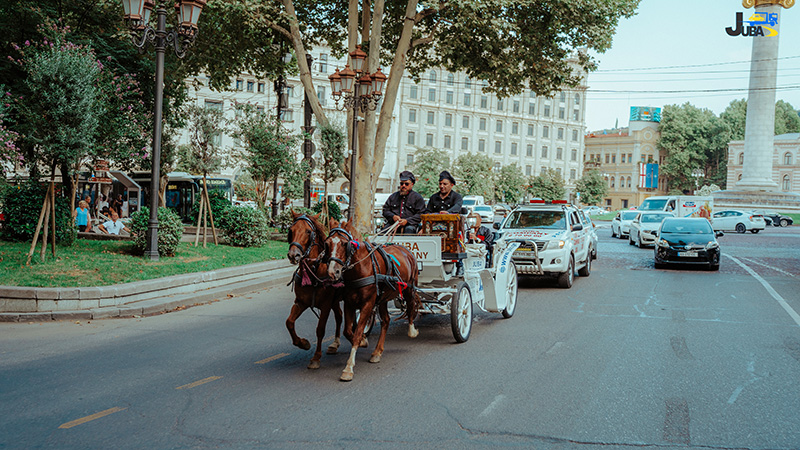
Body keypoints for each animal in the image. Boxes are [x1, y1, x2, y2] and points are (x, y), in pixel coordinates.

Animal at [284, 211, 340, 370]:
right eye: (291, 230)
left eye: (309, 231)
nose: (293, 255)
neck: (314, 269)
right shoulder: (301, 302)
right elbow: (289, 322)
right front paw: (303, 343)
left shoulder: (326, 305)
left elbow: (320, 329)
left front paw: (316, 357)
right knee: (339, 317)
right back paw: (335, 344)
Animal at [326, 218, 424, 380]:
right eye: (327, 243)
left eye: (345, 244)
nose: (333, 272)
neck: (361, 267)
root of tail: (405, 249)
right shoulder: (349, 303)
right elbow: (348, 331)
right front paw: (363, 342)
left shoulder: (368, 304)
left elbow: (357, 332)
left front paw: (348, 368)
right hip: (383, 297)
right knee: (386, 321)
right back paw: (377, 352)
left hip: (409, 287)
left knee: (411, 305)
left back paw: (412, 330)